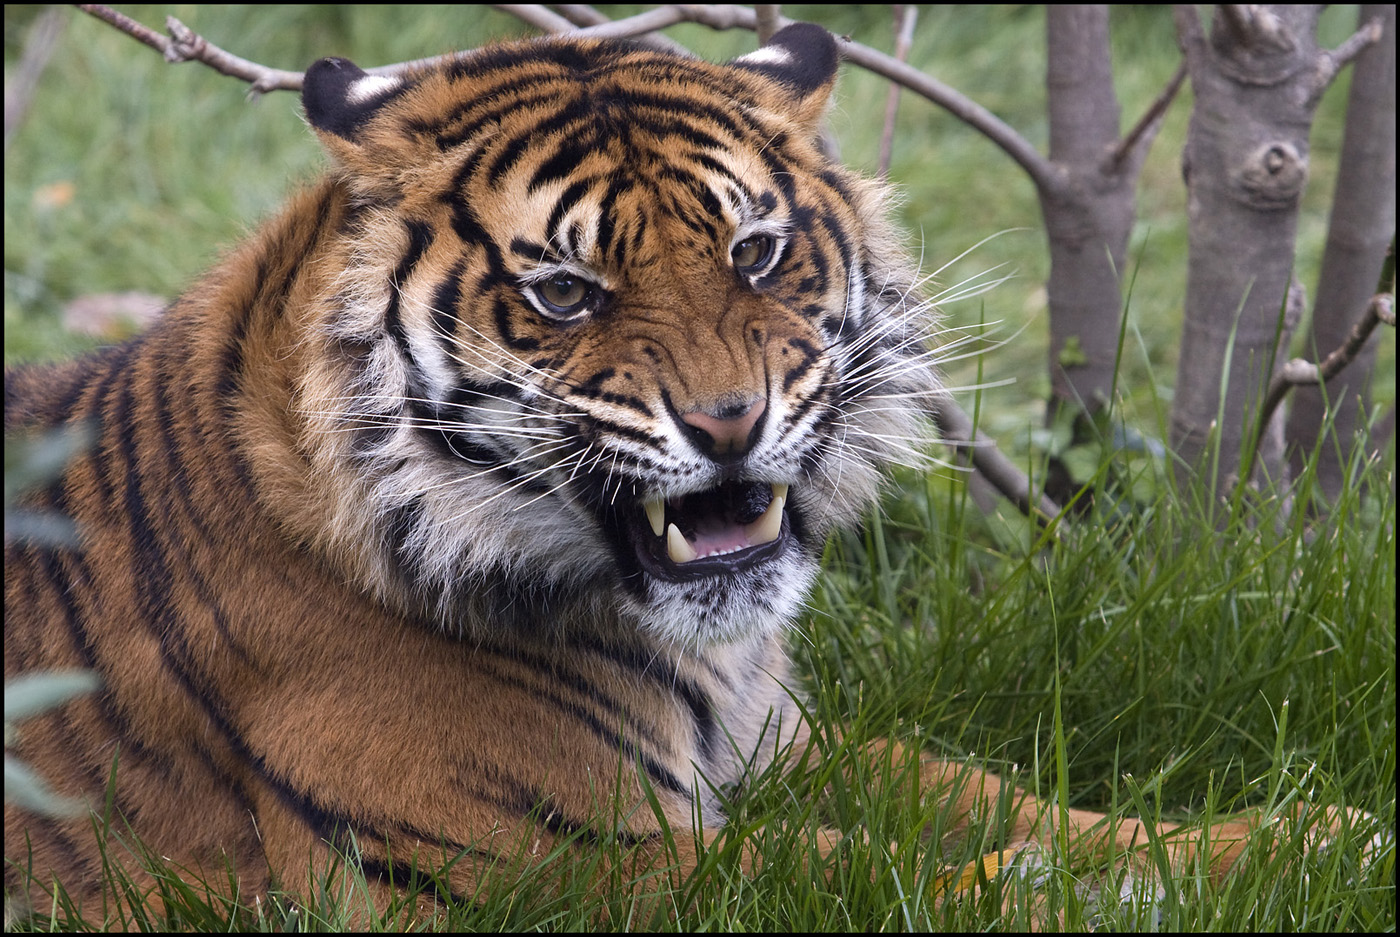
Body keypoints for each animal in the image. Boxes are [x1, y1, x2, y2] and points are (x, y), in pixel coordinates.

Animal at [0, 18, 1372, 924]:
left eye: (754, 255)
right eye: (566, 292)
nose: (727, 423)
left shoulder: (785, 745)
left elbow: (1000, 798)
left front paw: (1303, 835)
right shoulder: (532, 867)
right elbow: (882, 871)